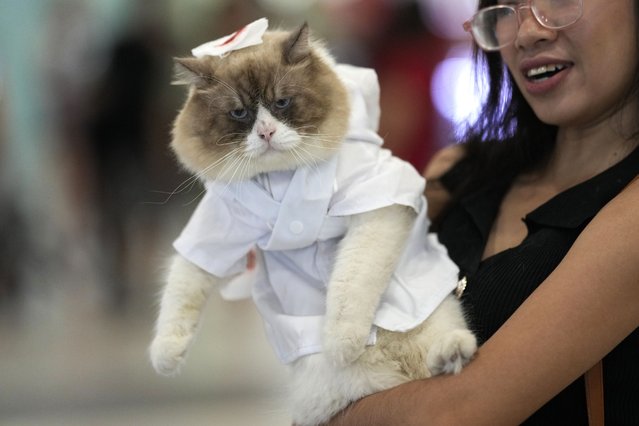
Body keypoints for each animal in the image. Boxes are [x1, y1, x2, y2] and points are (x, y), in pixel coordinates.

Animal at [150, 20, 478, 426]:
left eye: (281, 103)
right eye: (240, 113)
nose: (266, 133)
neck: (282, 176)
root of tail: (396, 369)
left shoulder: (376, 208)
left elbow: (349, 285)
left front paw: (341, 343)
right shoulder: (218, 231)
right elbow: (181, 290)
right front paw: (165, 356)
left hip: (435, 320)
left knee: (439, 352)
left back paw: (450, 353)